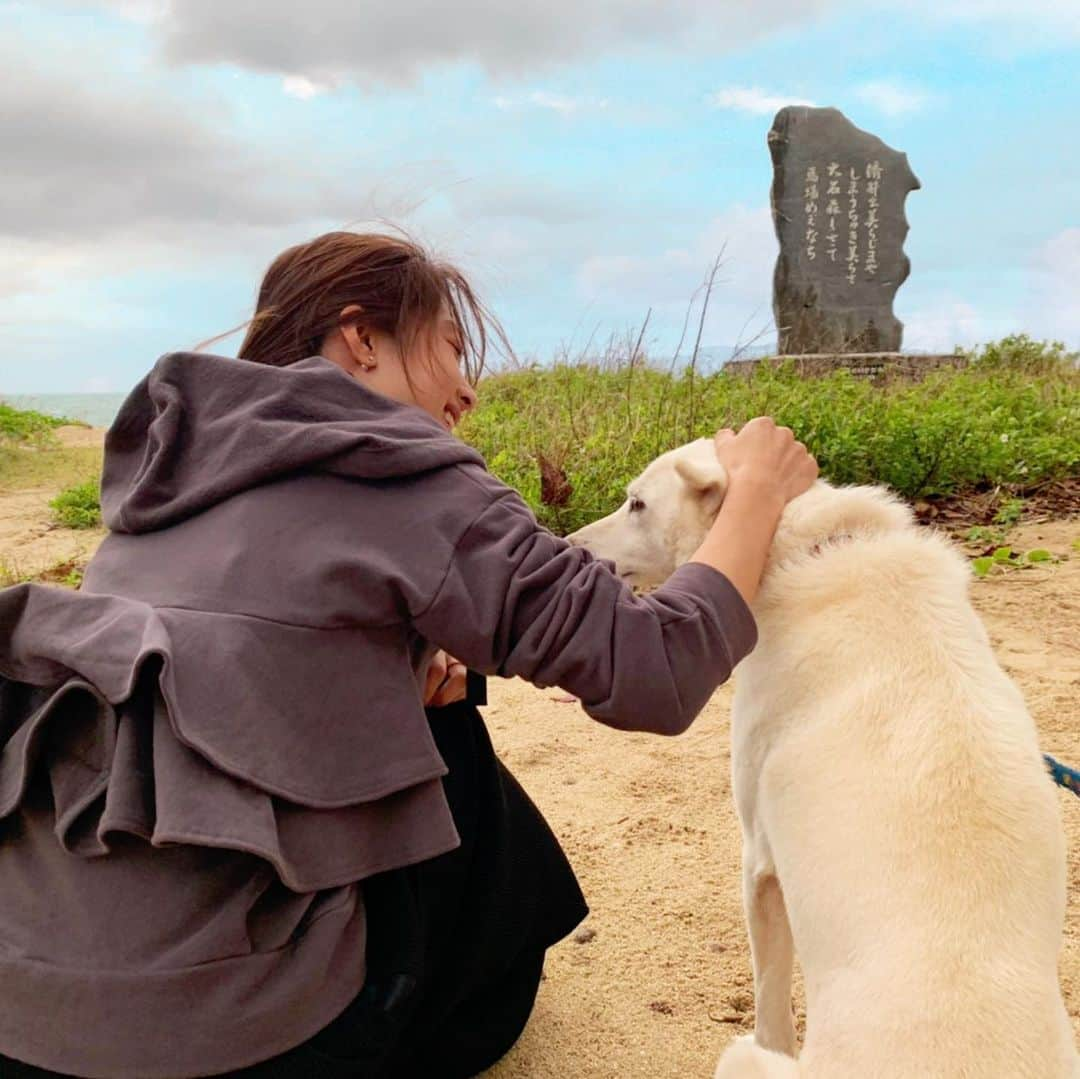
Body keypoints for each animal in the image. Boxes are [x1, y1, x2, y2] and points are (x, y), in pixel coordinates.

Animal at [570, 438, 1075, 1079]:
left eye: (636, 503)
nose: (571, 546)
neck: (799, 543)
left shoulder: (759, 863)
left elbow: (771, 1000)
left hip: (740, 1057)